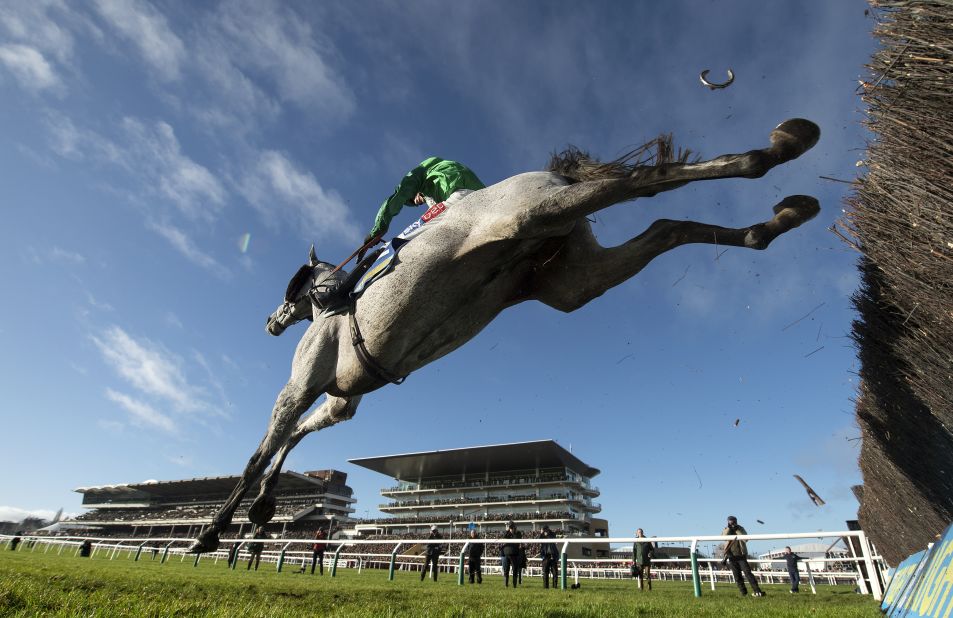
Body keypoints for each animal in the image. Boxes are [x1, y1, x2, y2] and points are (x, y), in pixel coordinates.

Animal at [192, 118, 820, 552]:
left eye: (290, 290)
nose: (271, 321)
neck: (334, 306)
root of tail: (544, 176)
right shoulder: (343, 398)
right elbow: (297, 435)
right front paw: (261, 511)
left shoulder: (302, 382)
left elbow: (264, 447)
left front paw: (215, 528)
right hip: (572, 281)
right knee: (667, 225)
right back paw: (777, 217)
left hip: (531, 215)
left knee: (648, 182)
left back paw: (777, 149)